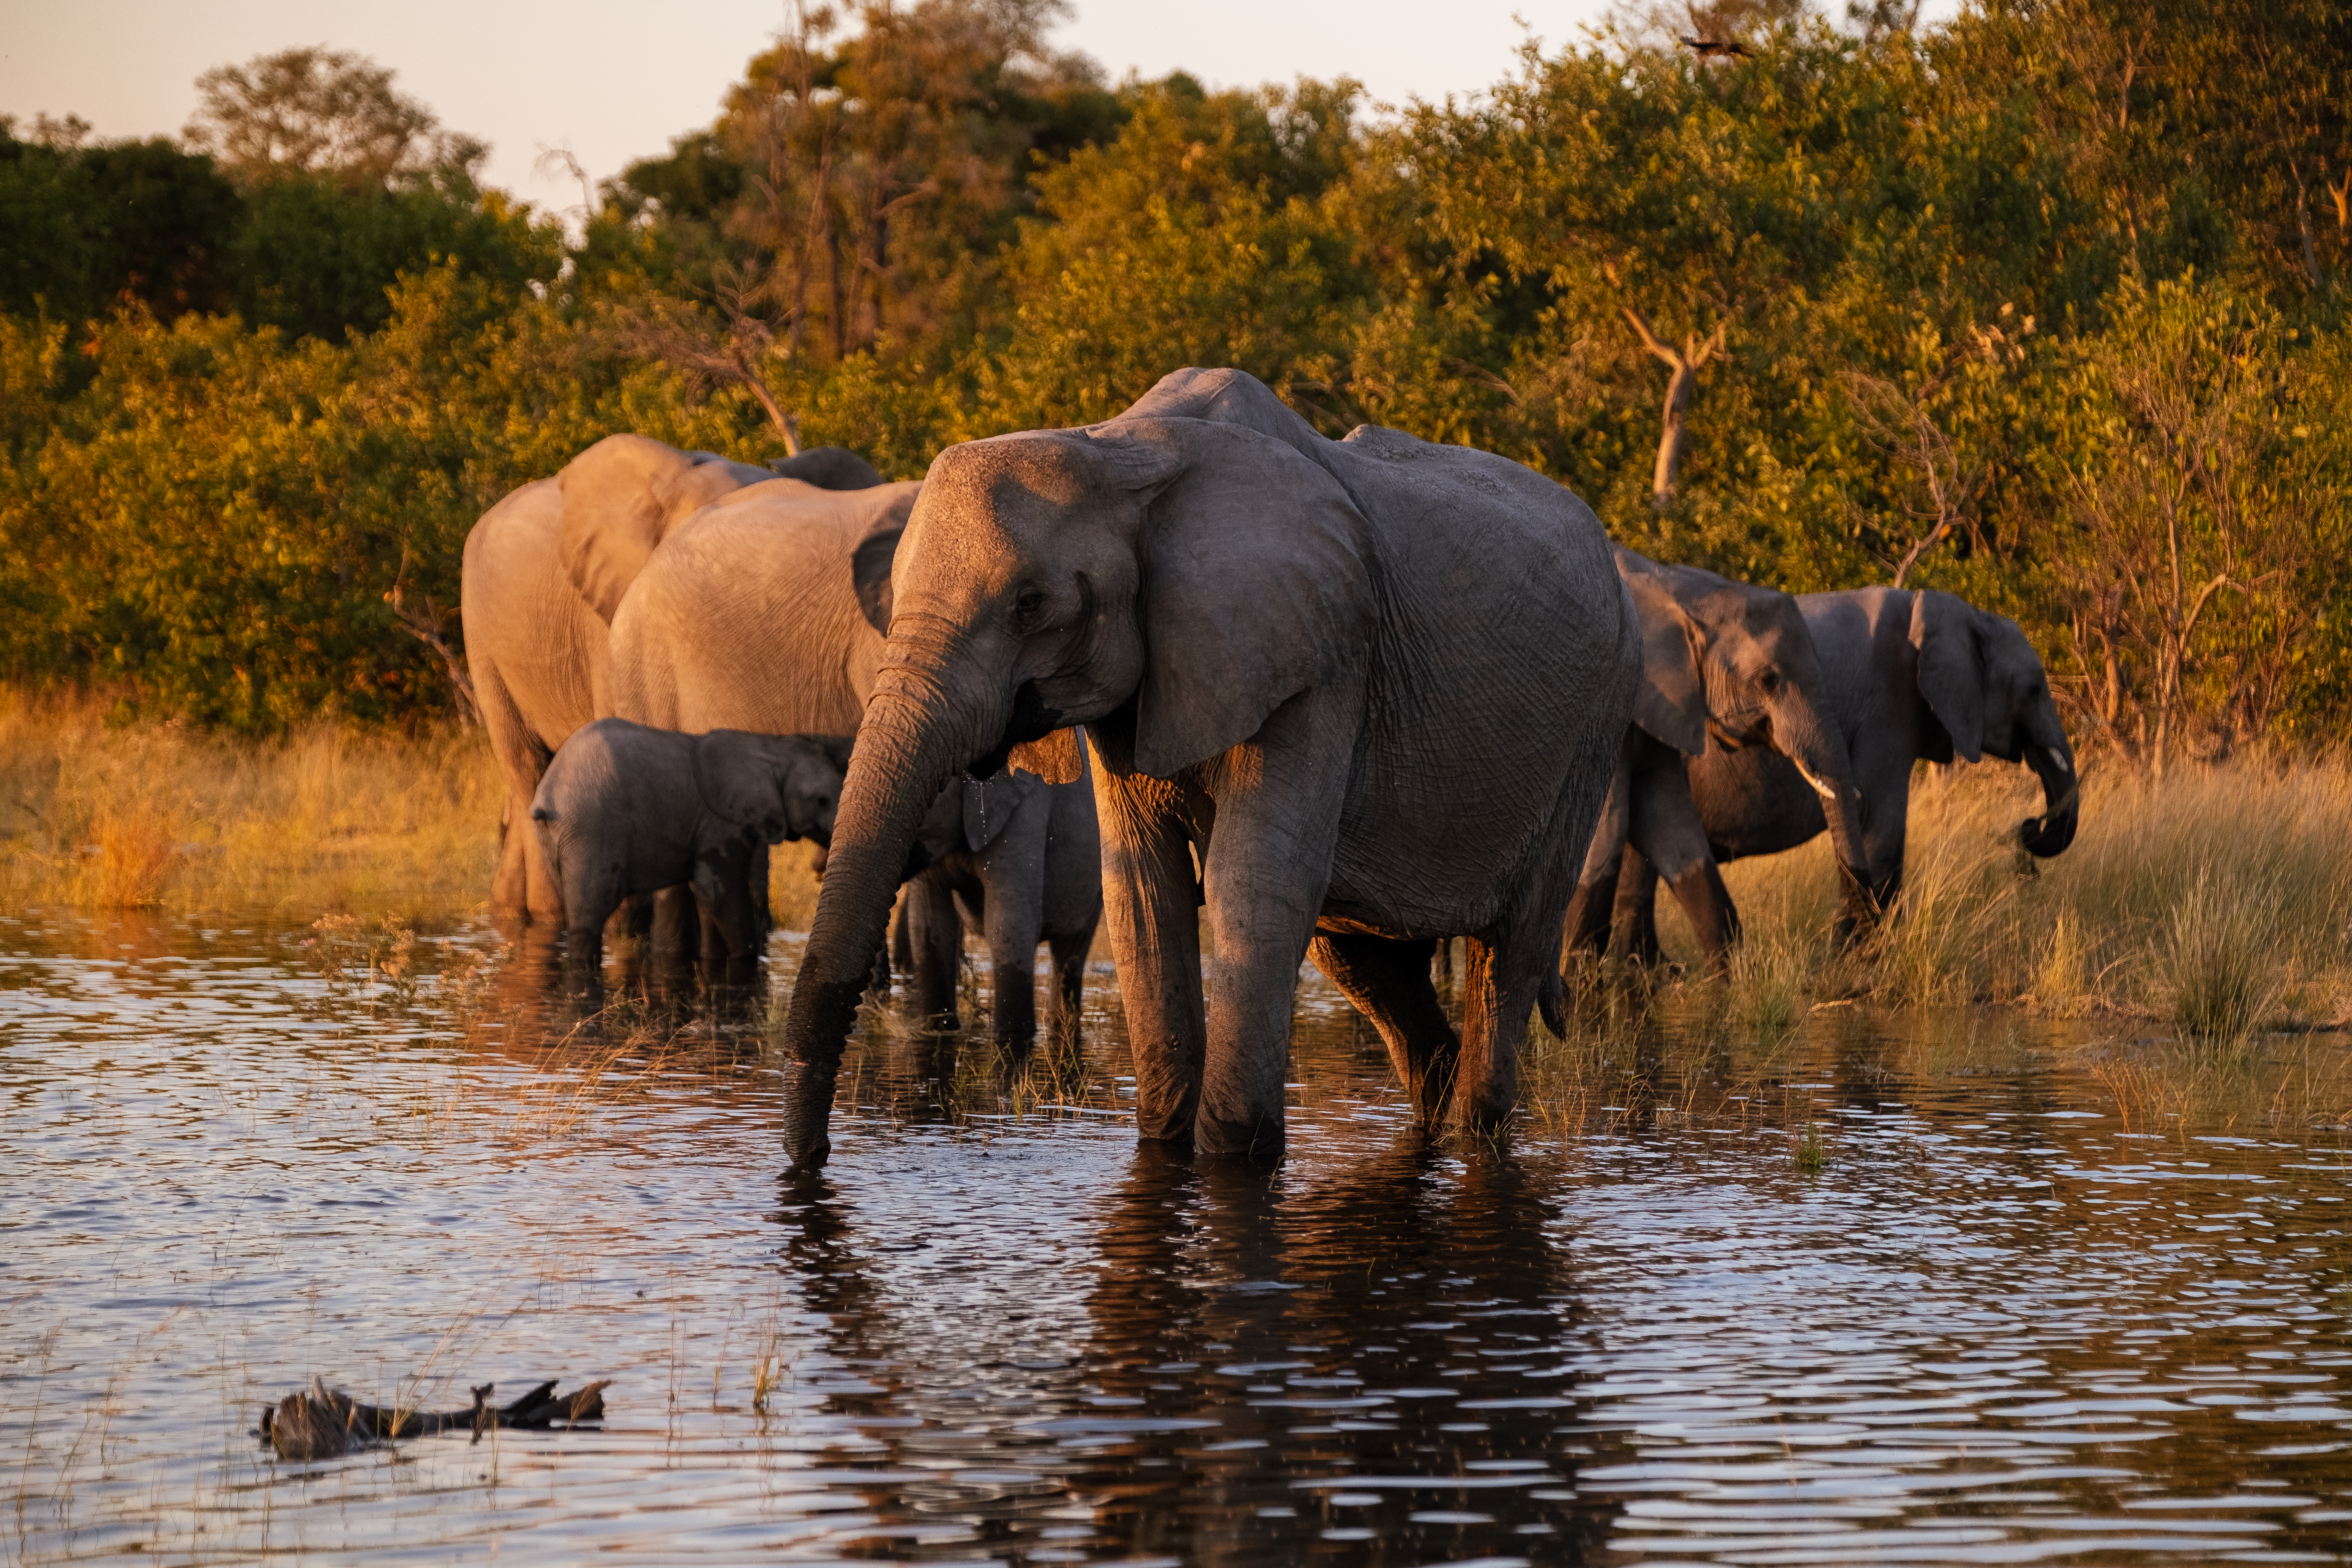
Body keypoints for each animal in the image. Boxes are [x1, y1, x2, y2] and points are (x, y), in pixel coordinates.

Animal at [531, 718, 854, 981]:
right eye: (822, 800)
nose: (818, 868)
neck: (770, 748)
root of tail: (547, 796)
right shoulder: (720, 824)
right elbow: (720, 895)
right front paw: (746, 966)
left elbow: (709, 901)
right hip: (591, 829)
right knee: (589, 918)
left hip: (557, 841)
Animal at [776, 366, 1641, 1171]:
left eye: (1030, 605)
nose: (812, 1159)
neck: (1119, 448)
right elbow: (1142, 891)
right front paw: (1165, 1148)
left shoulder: (1322, 657)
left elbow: (1252, 883)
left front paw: (1233, 1162)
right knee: (1362, 958)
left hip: (1595, 726)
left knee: (1509, 954)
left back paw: (1477, 1133)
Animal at [1561, 550, 1870, 967]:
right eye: (1769, 681)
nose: (1852, 937)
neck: (1680, 589)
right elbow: (1605, 833)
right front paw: (1574, 977)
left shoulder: (1663, 705)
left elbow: (1673, 826)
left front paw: (1729, 975)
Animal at [1612, 585, 2080, 954]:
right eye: (2034, 689)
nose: (2028, 827)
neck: (1950, 610)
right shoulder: (1889, 703)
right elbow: (1880, 825)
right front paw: (1861, 957)